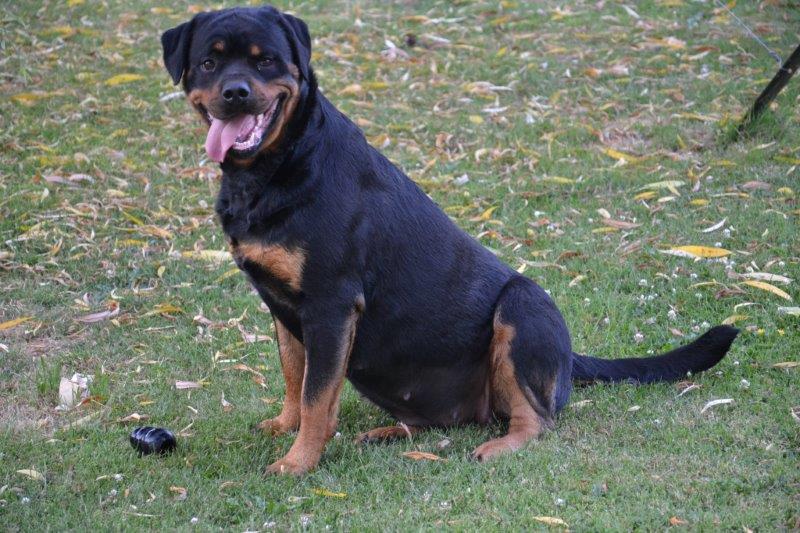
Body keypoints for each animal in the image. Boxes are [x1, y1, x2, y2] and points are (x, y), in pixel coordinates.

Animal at [159, 5, 740, 474]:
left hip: (523, 306)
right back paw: (388, 432)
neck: (272, 170)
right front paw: (285, 428)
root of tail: (570, 359)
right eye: (209, 64)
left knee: (536, 419)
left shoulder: (330, 303)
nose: (235, 93)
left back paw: (498, 446)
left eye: (266, 63)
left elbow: (317, 396)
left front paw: (298, 461)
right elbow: (293, 376)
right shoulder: (286, 308)